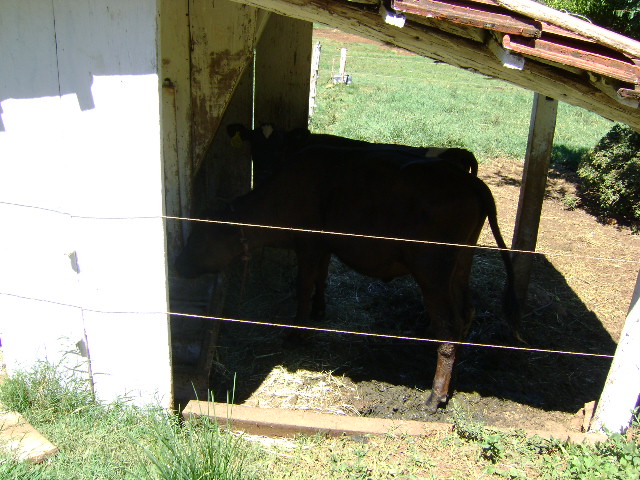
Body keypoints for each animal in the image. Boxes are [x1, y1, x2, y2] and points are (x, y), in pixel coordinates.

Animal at [175, 147, 520, 412]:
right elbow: (320, 278)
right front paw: (318, 310)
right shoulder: (324, 246)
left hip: (432, 271)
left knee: (448, 327)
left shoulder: (308, 244)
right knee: (466, 314)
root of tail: (471, 182)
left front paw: (296, 332)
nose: (179, 265)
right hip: (460, 266)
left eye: (200, 235)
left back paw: (434, 397)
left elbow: (303, 285)